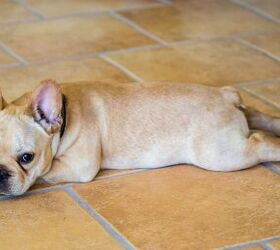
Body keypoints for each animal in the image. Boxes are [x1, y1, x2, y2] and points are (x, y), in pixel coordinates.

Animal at [0, 79, 278, 195]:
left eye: (27, 158)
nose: (0, 173)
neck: (64, 114)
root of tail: (226, 95)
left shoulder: (78, 165)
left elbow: (45, 172)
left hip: (220, 155)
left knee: (261, 142)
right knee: (260, 115)